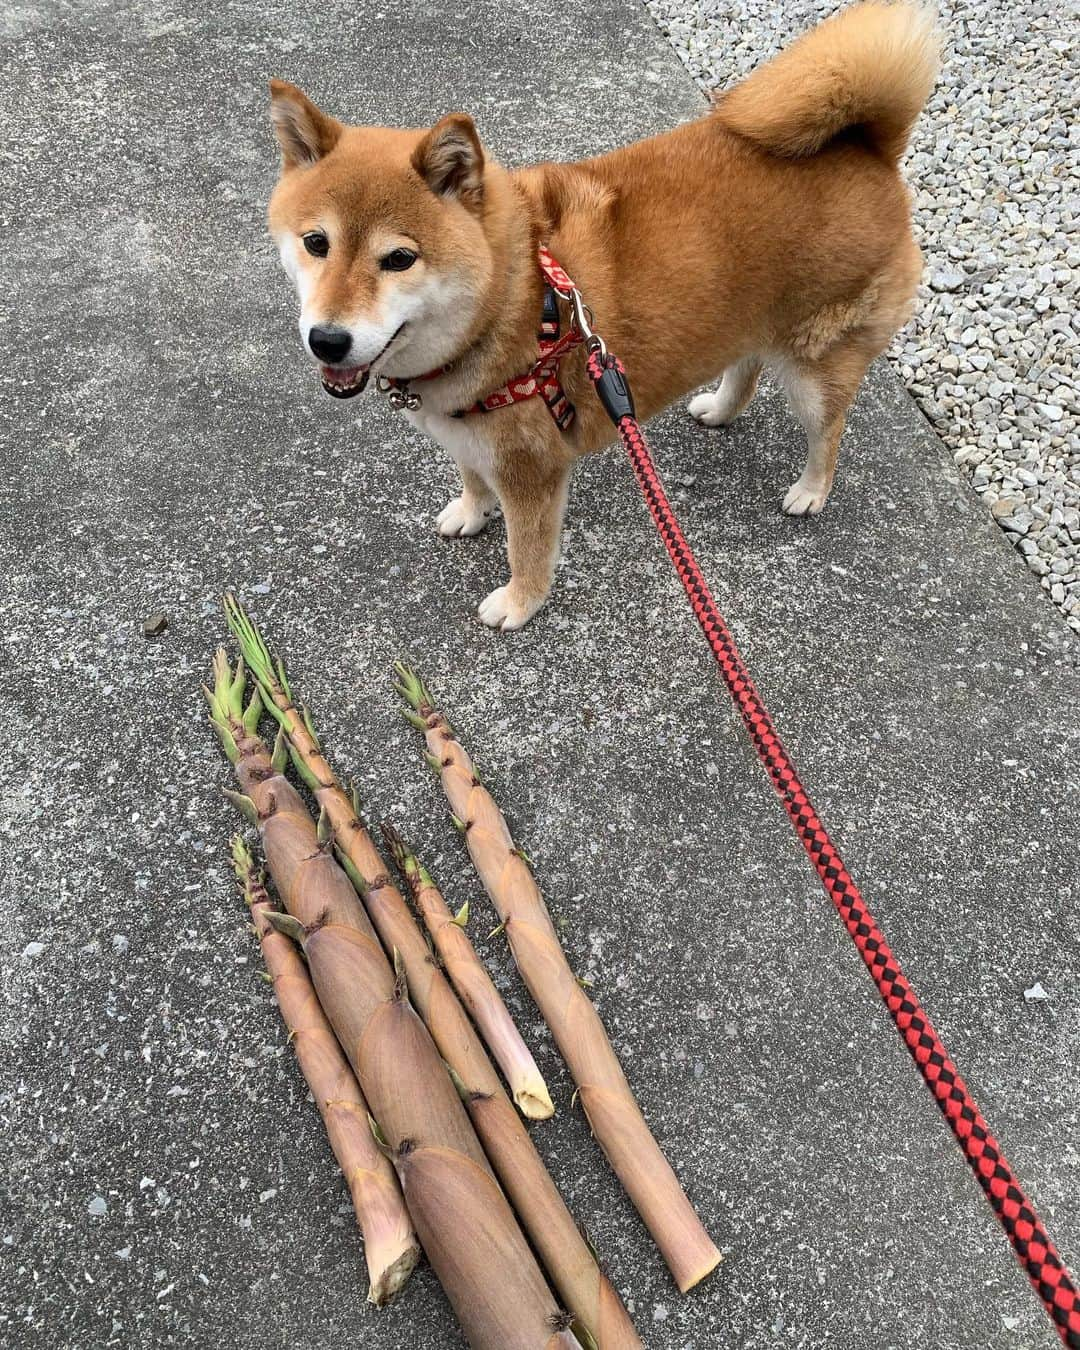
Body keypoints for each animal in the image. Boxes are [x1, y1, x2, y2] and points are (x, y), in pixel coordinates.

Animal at [267, 1, 934, 626]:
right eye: (316, 243)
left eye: (399, 259)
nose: (327, 340)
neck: (512, 296)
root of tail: (868, 149)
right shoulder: (467, 437)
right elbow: (471, 477)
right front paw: (470, 511)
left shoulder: (532, 467)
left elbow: (527, 547)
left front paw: (520, 601)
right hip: (749, 320)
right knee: (746, 369)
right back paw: (720, 408)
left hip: (817, 364)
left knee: (828, 429)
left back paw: (810, 490)